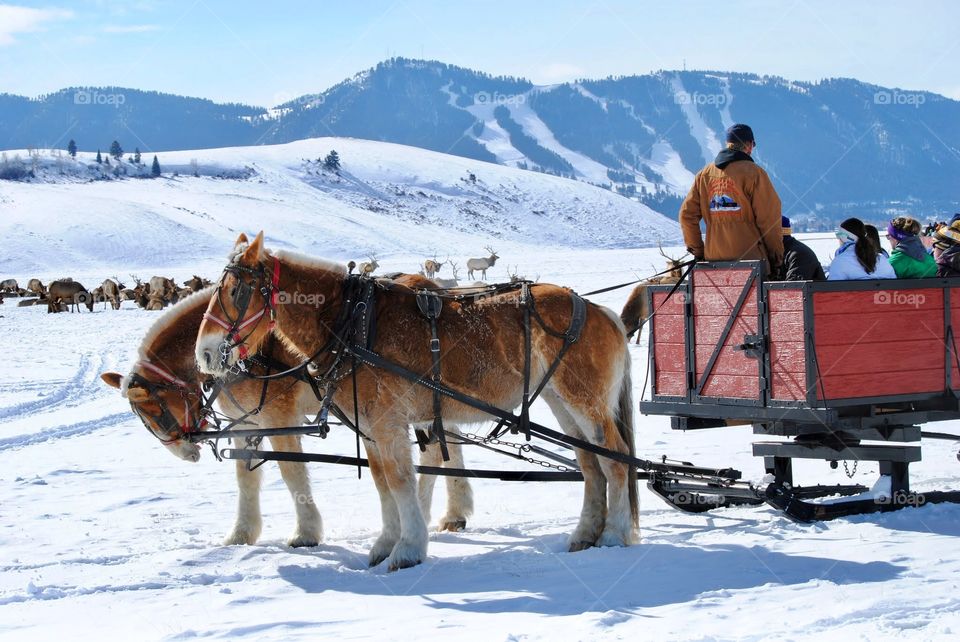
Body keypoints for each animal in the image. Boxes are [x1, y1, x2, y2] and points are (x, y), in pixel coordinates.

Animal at [103, 280, 474, 544]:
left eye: (154, 410)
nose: (187, 452)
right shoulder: (247, 425)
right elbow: (246, 479)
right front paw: (242, 532)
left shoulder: (278, 419)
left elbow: (291, 473)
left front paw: (306, 532)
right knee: (450, 445)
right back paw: (455, 511)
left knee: (435, 452)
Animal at [195, 231, 636, 568]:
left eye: (235, 291)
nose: (205, 353)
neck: (354, 321)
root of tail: (599, 309)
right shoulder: (371, 427)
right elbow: (381, 482)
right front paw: (386, 543)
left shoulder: (389, 422)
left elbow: (400, 480)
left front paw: (407, 550)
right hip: (560, 400)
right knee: (590, 464)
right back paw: (585, 533)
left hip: (585, 401)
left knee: (615, 458)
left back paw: (613, 533)